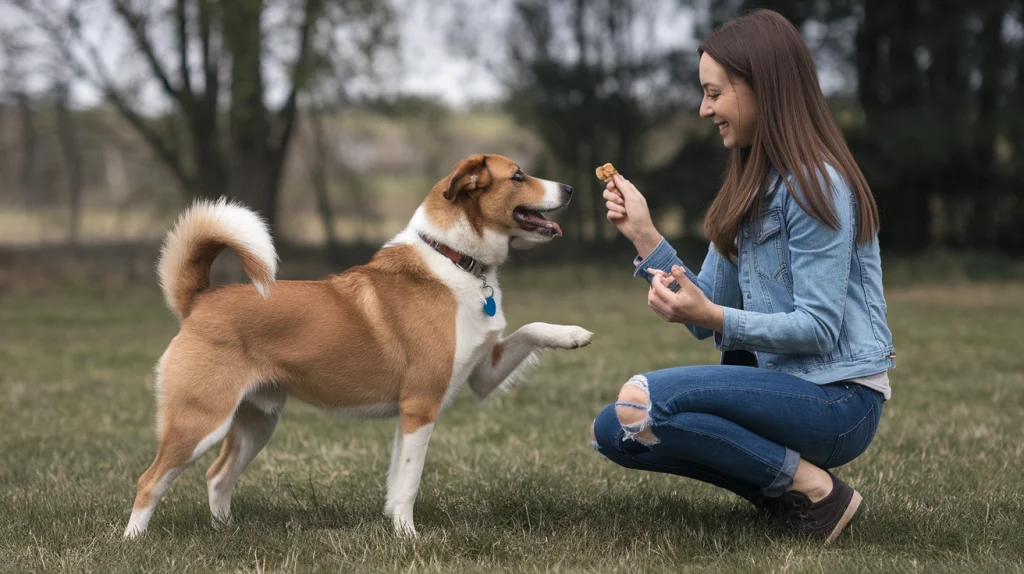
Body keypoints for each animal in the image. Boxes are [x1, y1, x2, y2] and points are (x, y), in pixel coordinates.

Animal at [123, 152, 598, 536]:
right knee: (150, 482)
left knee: (217, 477)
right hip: (199, 421)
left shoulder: (481, 375)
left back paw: (226, 531)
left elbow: (530, 329)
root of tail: (199, 299)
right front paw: (408, 538)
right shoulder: (420, 407)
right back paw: (134, 543)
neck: (451, 260)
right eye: (518, 175)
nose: (572, 188)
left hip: (256, 422)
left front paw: (573, 334)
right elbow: (409, 485)